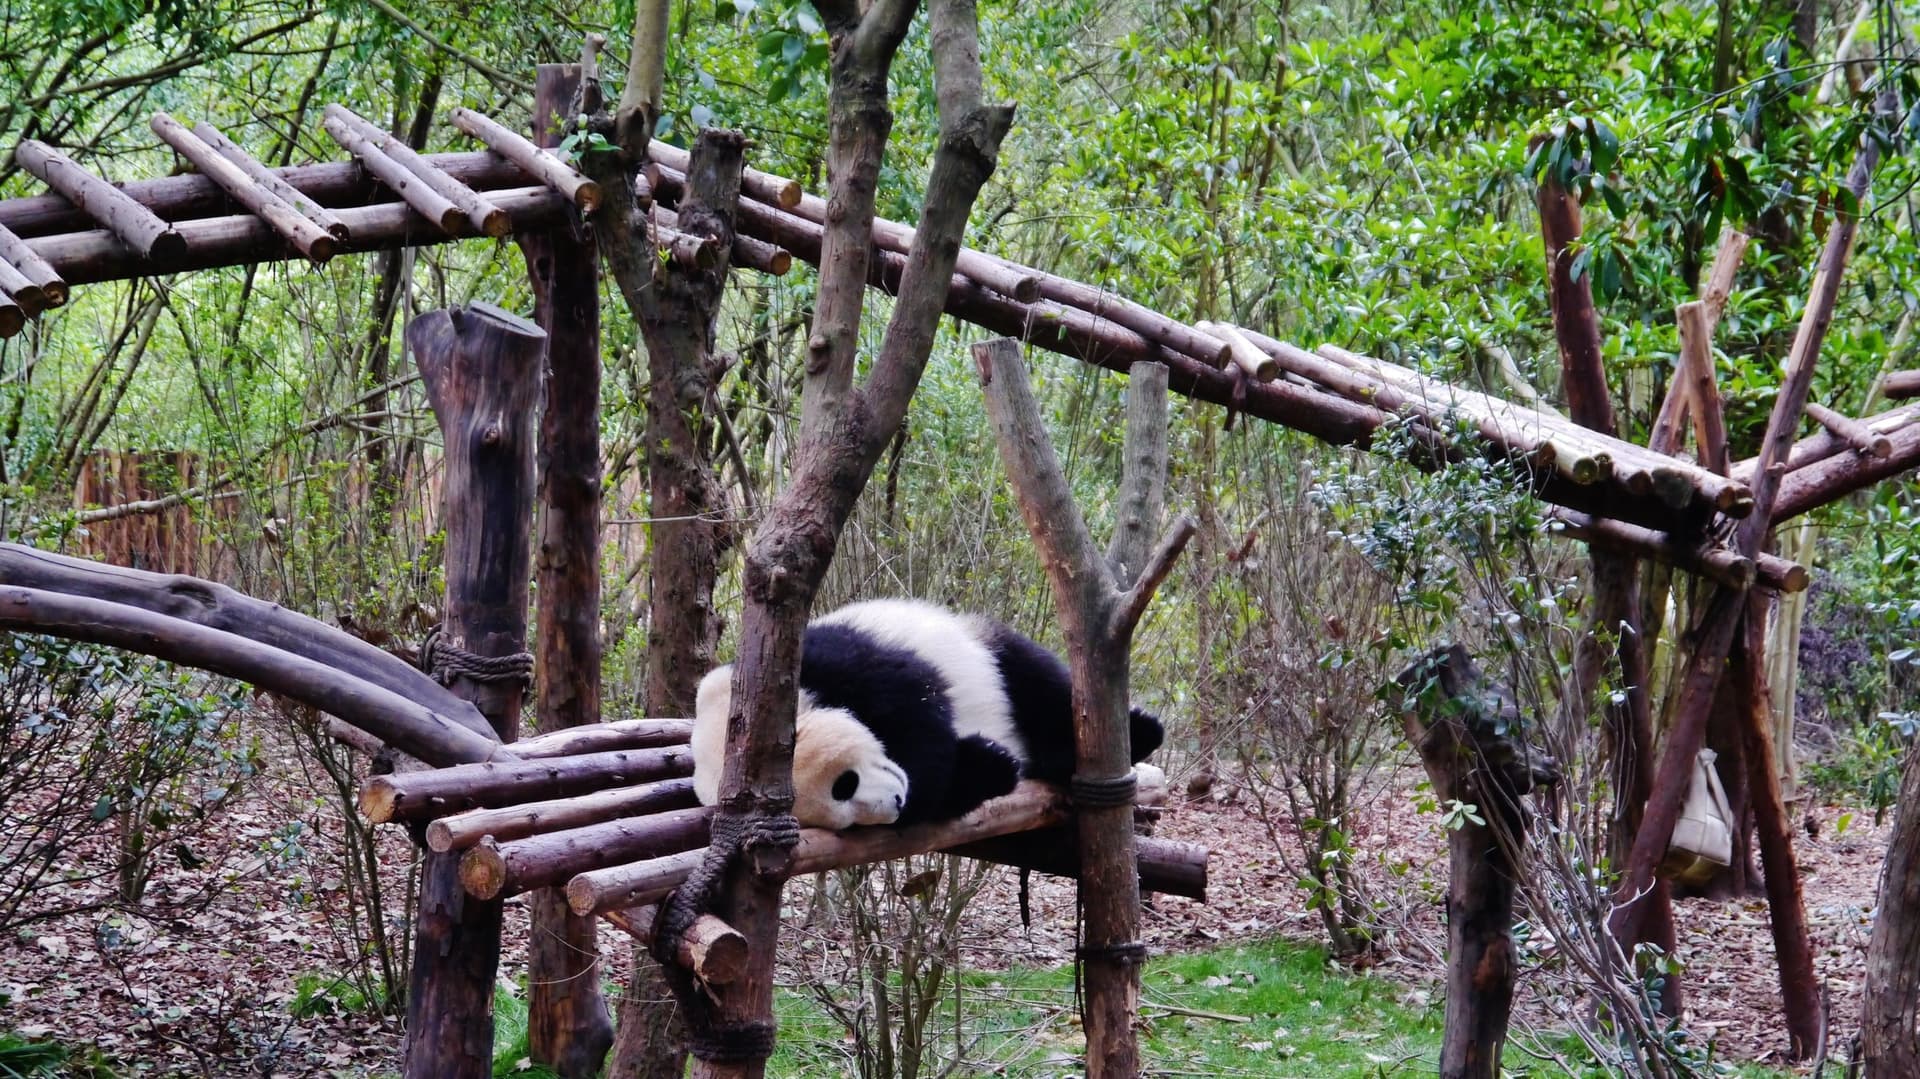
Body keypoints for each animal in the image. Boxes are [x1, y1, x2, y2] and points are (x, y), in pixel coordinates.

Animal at [692, 598, 1165, 830]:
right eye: (845, 821)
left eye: (844, 785)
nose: (894, 803)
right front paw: (987, 764)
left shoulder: (830, 660)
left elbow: (914, 708)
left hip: (983, 646)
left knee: (1037, 683)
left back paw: (1139, 732)